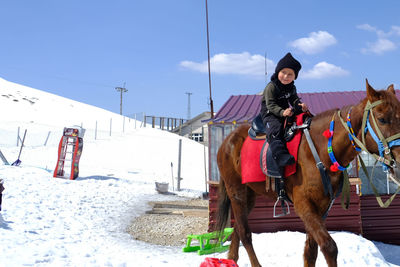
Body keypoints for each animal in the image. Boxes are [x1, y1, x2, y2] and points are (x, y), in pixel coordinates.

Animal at [217, 80, 400, 266]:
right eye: (382, 119)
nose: (399, 160)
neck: (321, 151)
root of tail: (227, 141)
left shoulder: (322, 206)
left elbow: (311, 251)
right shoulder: (303, 204)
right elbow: (329, 247)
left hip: (250, 195)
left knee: (237, 229)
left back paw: (231, 259)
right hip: (237, 192)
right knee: (244, 232)